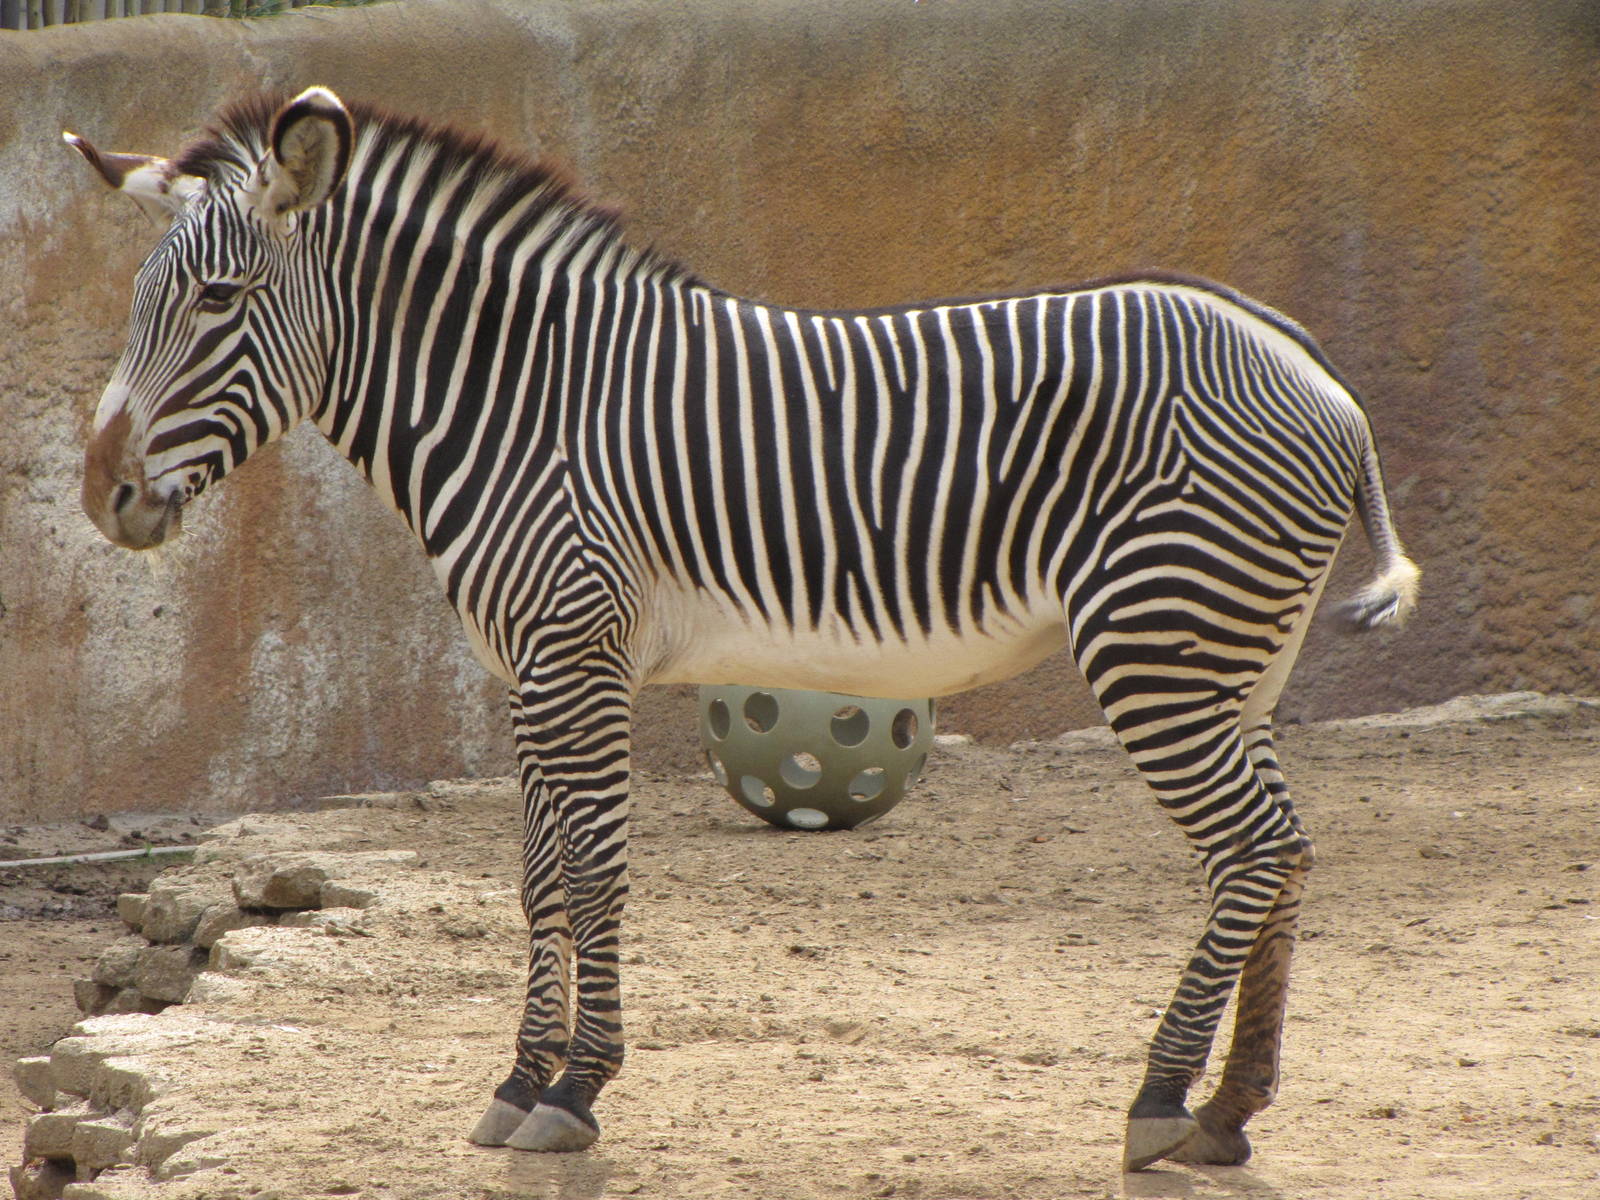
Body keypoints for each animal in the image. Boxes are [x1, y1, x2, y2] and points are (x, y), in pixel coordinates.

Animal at [68, 86, 1418, 1172]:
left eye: (218, 300)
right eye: (140, 301)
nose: (102, 495)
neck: (517, 403)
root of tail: (1309, 364)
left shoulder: (578, 651)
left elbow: (594, 870)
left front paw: (576, 1092)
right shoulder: (531, 668)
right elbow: (537, 878)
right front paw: (516, 1081)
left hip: (1156, 649)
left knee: (1250, 849)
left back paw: (1158, 1101)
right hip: (1231, 661)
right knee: (1286, 851)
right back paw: (1229, 1113)